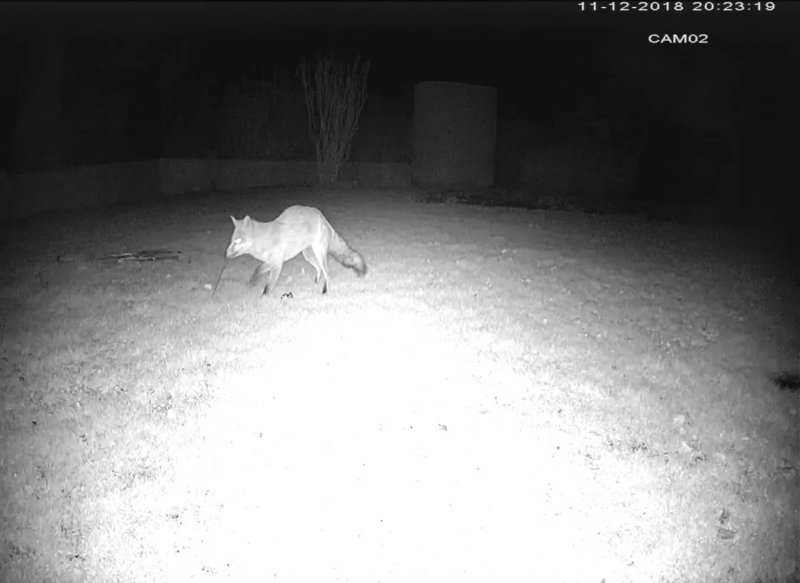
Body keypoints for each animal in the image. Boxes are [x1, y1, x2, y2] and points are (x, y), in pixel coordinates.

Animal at [225, 205, 367, 296]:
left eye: (238, 241)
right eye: (232, 240)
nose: (226, 255)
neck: (265, 240)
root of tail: (321, 215)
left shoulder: (277, 264)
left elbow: (268, 286)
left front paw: (262, 298)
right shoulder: (270, 262)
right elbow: (257, 271)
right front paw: (250, 284)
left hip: (318, 253)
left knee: (327, 272)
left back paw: (325, 291)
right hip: (308, 255)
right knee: (319, 269)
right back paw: (316, 282)